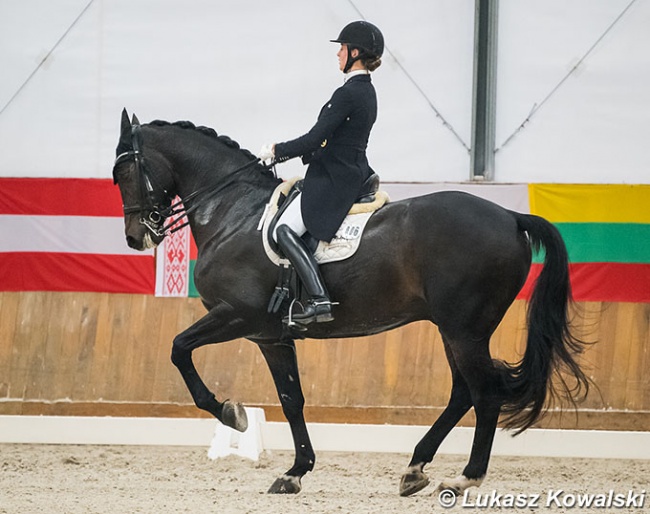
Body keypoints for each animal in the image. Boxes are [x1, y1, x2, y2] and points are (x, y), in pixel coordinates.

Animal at [111, 110, 588, 494]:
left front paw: (232, 414)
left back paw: (465, 478)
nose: (136, 238)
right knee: (462, 393)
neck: (233, 213)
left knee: (485, 394)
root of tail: (511, 216)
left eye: (124, 173)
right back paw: (415, 469)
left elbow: (179, 349)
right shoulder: (271, 336)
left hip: (464, 329)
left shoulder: (237, 315)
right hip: (454, 328)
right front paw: (295, 472)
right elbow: (291, 398)